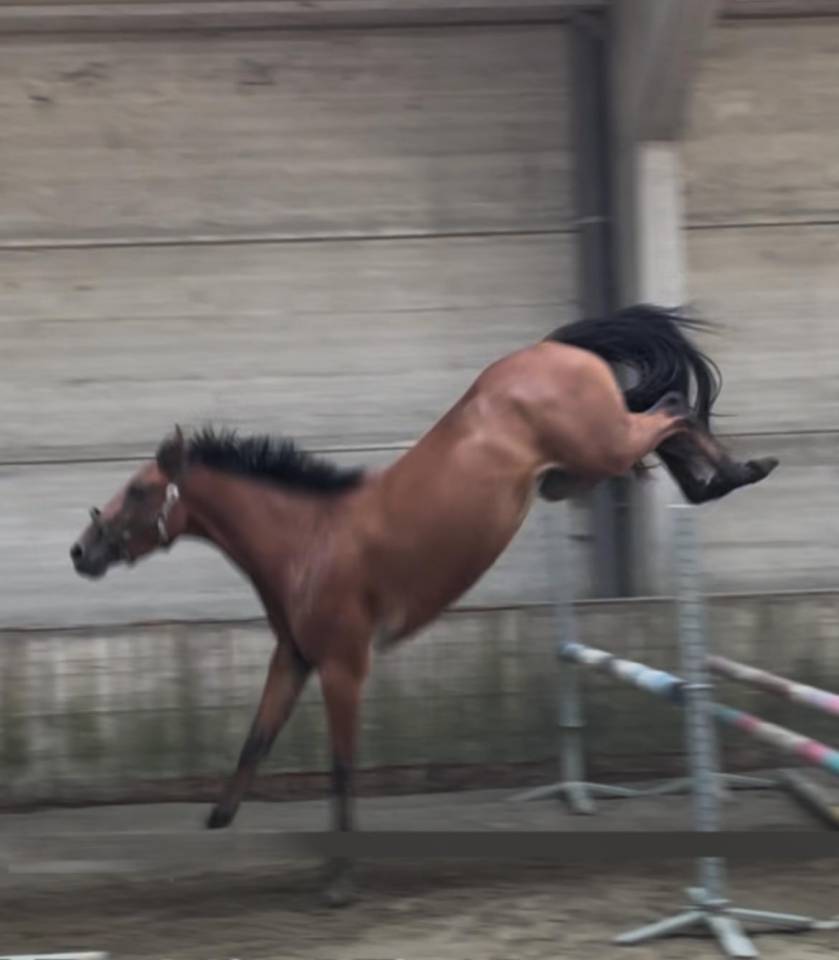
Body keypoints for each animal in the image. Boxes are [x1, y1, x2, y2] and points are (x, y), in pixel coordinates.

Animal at [69, 304, 777, 904]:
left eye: (139, 491)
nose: (81, 551)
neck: (309, 541)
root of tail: (551, 349)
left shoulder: (344, 666)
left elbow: (342, 766)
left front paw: (339, 881)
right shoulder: (294, 657)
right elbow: (256, 740)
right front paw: (219, 819)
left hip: (600, 445)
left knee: (672, 410)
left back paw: (737, 474)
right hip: (590, 459)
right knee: (668, 421)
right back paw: (724, 478)